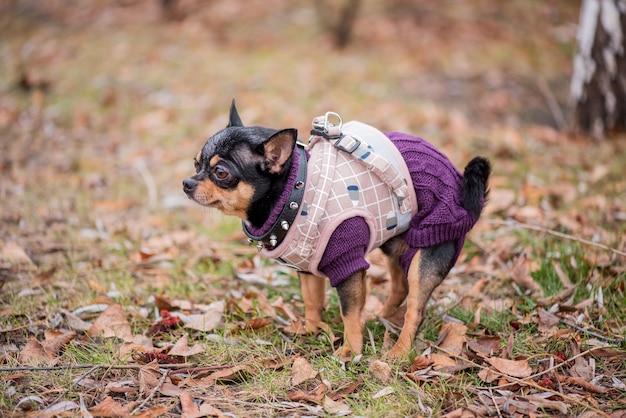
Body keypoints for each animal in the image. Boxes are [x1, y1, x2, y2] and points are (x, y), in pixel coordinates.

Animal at [183, 100, 490, 360]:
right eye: (196, 163)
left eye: (221, 173)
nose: (187, 183)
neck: (296, 189)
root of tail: (460, 179)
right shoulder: (306, 267)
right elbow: (312, 300)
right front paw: (310, 330)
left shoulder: (348, 265)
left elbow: (349, 313)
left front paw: (350, 350)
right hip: (395, 244)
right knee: (399, 286)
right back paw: (378, 316)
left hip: (428, 253)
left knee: (416, 308)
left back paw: (400, 350)